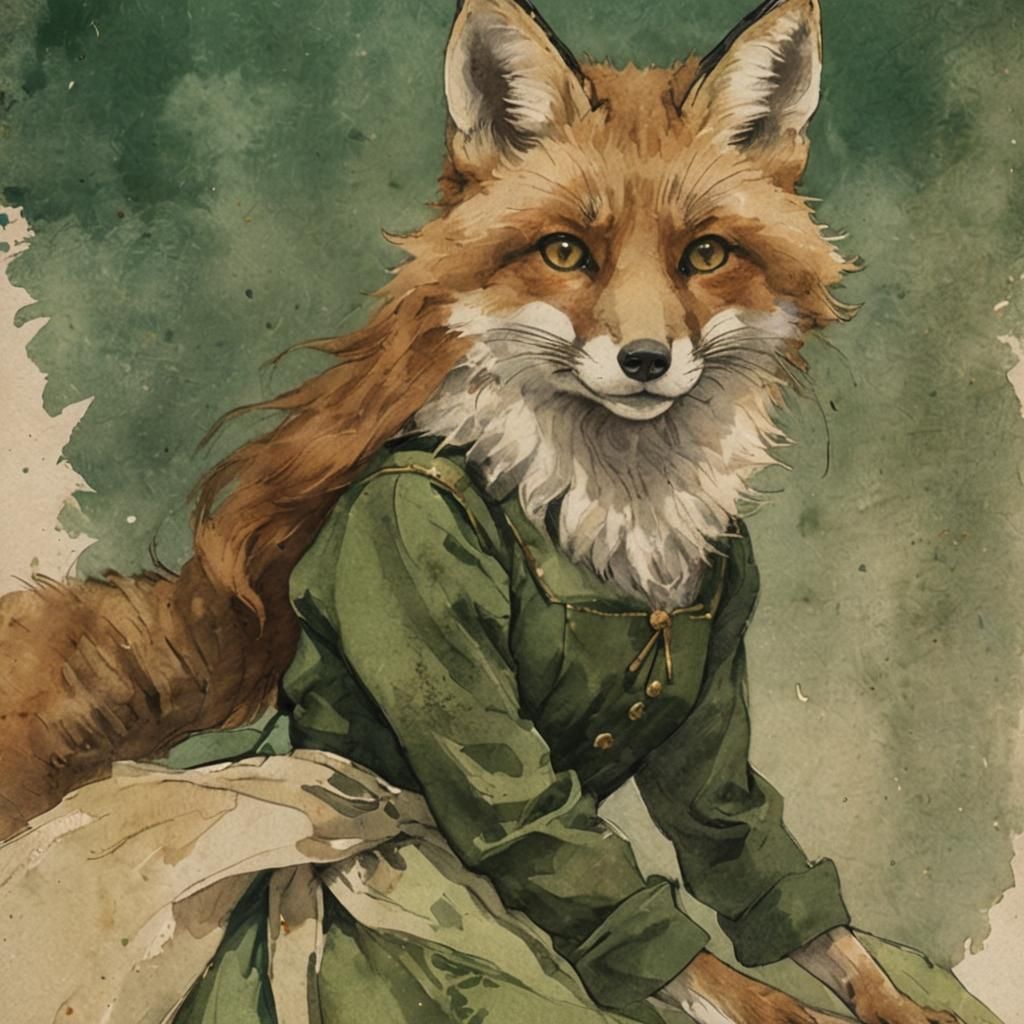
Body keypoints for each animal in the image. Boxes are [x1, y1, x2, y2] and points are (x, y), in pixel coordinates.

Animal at [0, 2, 980, 1023]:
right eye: (565, 252)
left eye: (705, 254)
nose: (644, 360)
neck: (617, 514)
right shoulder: (410, 553)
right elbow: (574, 859)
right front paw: (768, 1004)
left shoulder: (718, 665)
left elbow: (755, 856)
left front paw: (896, 999)